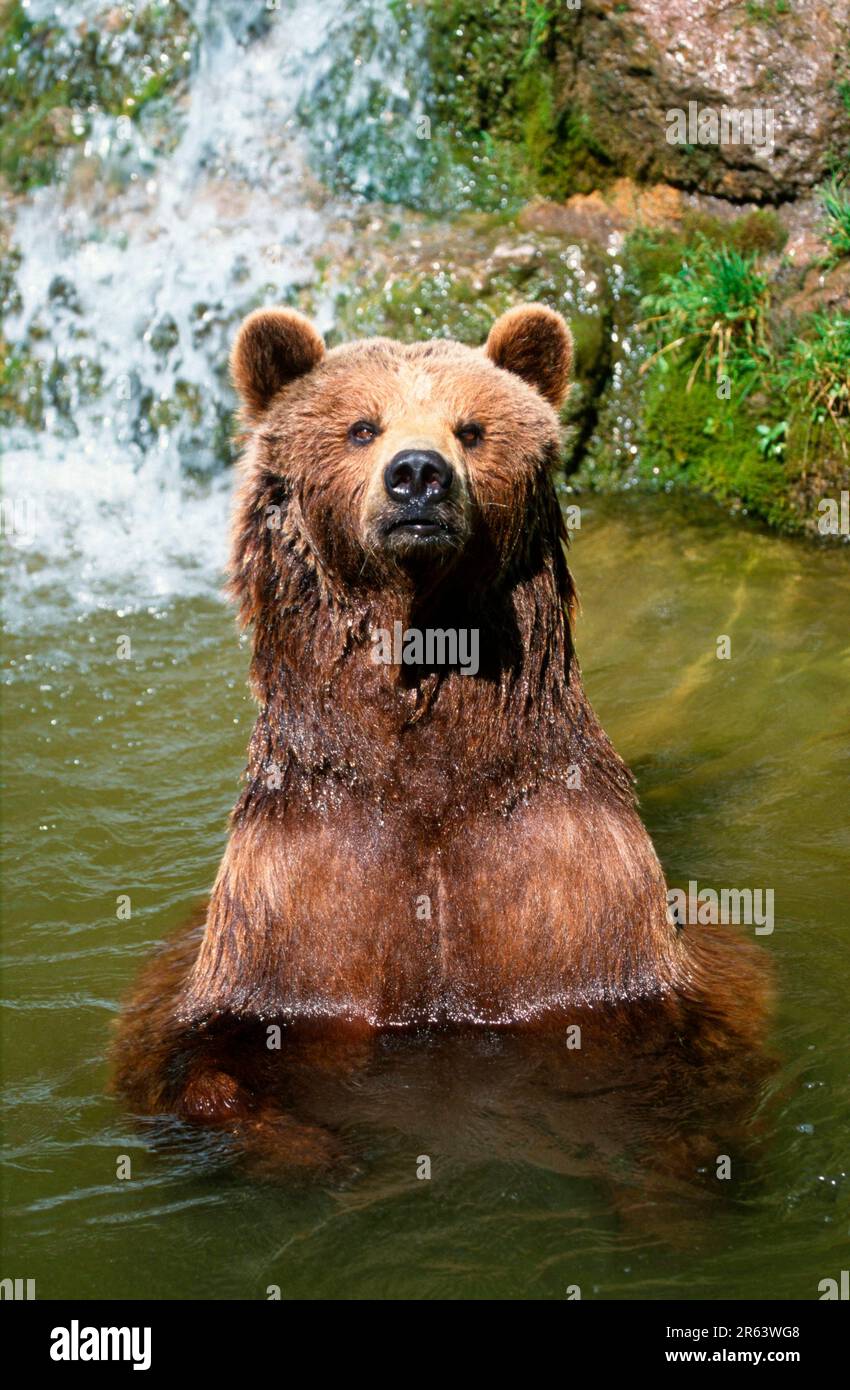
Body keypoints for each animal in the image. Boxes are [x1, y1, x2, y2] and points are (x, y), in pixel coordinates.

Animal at [113, 304, 771, 1198]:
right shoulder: (296, 899)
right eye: (361, 427)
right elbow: (210, 1056)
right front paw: (307, 1147)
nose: (418, 475)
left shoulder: (568, 891)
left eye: (473, 429)